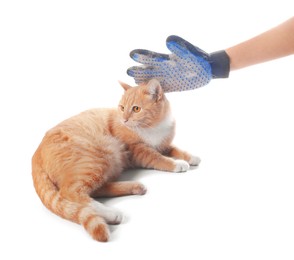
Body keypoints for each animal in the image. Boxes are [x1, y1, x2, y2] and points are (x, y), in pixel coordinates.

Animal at [31, 79, 200, 242]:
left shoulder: (164, 145)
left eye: (136, 109)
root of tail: (36, 154)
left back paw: (135, 187)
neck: (153, 127)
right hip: (100, 157)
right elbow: (158, 158)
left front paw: (191, 157)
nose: (124, 119)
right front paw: (178, 164)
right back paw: (111, 214)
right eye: (122, 107)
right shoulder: (138, 151)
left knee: (96, 189)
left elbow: (176, 149)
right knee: (71, 192)